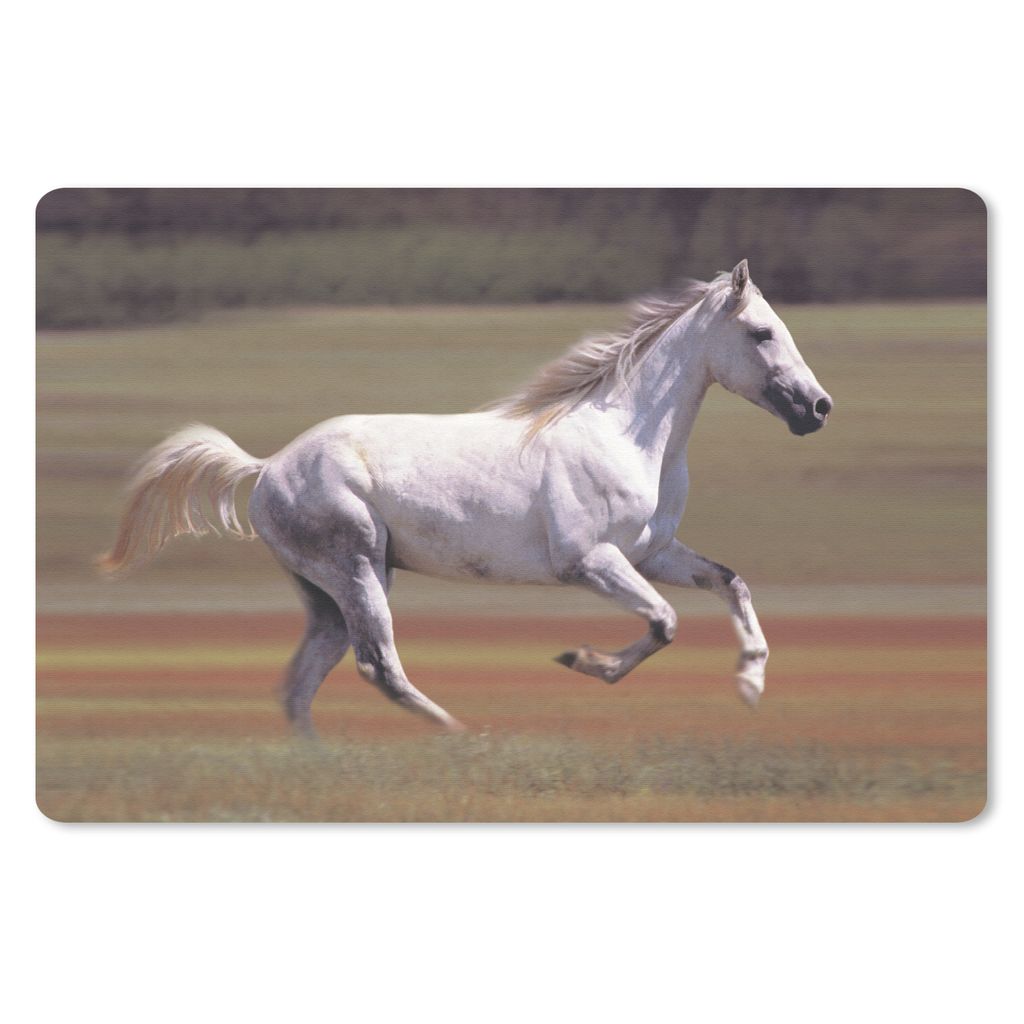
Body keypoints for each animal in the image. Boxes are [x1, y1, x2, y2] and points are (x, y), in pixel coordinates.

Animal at [98, 259, 833, 736]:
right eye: (762, 333)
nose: (818, 408)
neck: (626, 433)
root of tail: (269, 466)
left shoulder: (654, 554)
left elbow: (730, 583)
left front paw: (750, 684)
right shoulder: (591, 562)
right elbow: (664, 622)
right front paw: (581, 661)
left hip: (328, 595)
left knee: (300, 686)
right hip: (358, 571)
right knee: (379, 667)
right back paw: (459, 734)